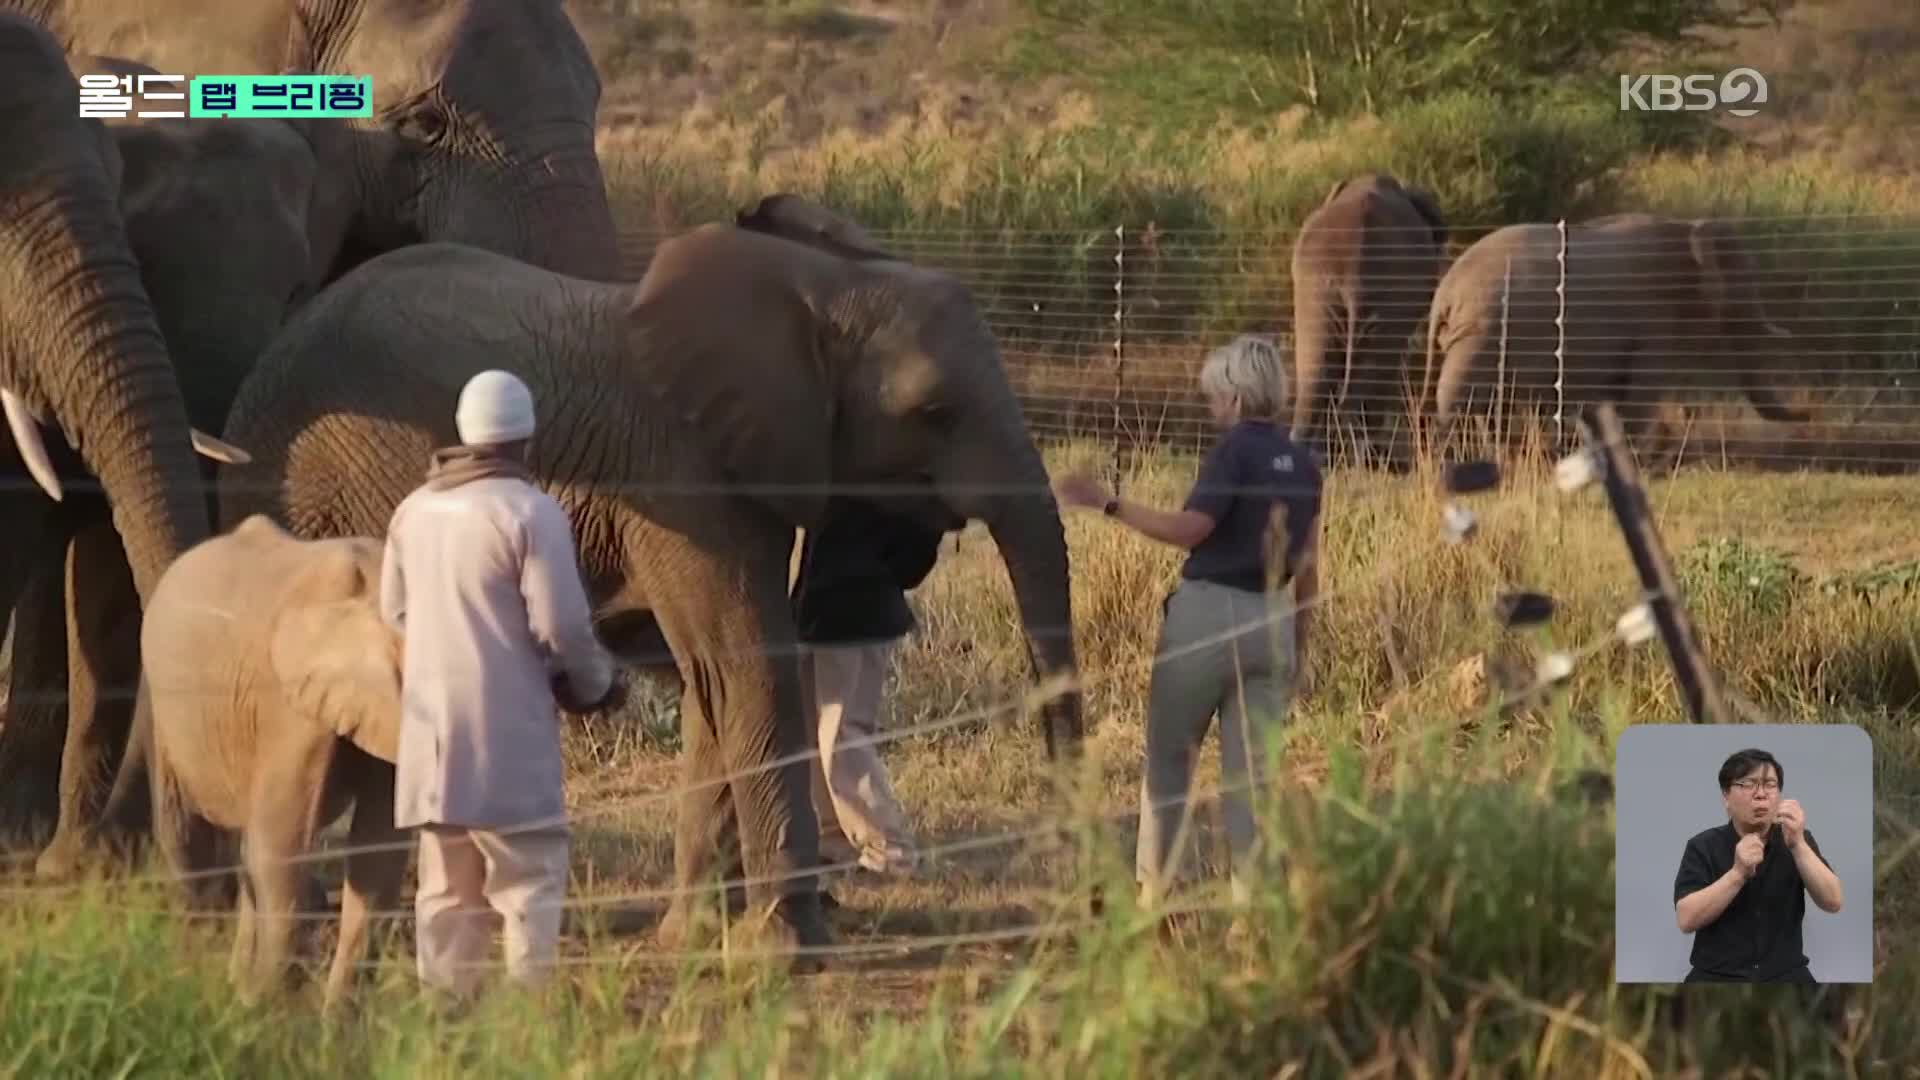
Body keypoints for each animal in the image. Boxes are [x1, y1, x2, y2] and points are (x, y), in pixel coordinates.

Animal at [97, 511, 405, 999]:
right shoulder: (285, 703)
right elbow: (281, 844)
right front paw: (270, 1007)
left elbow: (378, 853)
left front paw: (333, 1016)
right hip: (165, 705)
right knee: (186, 833)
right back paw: (198, 978)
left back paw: (233, 983)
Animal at [217, 224, 1090, 957]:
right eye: (933, 411)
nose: (1083, 889)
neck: (819, 284)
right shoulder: (680, 474)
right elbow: (750, 667)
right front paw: (790, 949)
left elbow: (712, 683)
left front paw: (692, 938)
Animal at [1420, 211, 1804, 463]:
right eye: (1743, 281)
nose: (1809, 412)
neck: (1686, 229)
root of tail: (1444, 294)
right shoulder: (1653, 323)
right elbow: (1642, 394)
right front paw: (1639, 463)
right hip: (1478, 336)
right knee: (1459, 399)